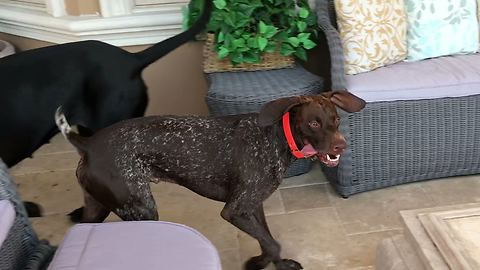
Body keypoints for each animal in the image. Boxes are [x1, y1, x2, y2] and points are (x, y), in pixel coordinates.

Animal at [55, 90, 364, 270]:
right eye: (313, 123)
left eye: (336, 120)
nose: (340, 146)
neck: (275, 138)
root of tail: (88, 143)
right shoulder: (235, 211)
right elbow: (272, 242)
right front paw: (263, 263)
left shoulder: (252, 206)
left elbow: (268, 240)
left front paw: (272, 264)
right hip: (141, 210)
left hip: (97, 209)